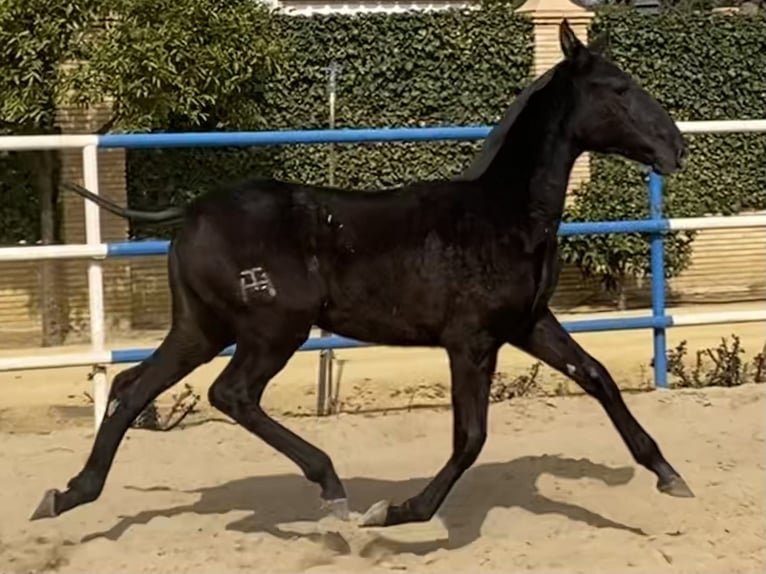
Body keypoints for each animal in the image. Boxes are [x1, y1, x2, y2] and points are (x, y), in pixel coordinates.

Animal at [33, 19, 696, 532]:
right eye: (619, 88)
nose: (677, 147)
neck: (502, 214)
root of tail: (192, 211)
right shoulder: (472, 341)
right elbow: (470, 437)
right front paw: (399, 511)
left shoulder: (529, 324)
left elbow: (598, 377)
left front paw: (669, 475)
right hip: (274, 330)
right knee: (231, 394)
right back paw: (330, 486)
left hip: (201, 328)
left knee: (131, 389)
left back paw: (67, 495)